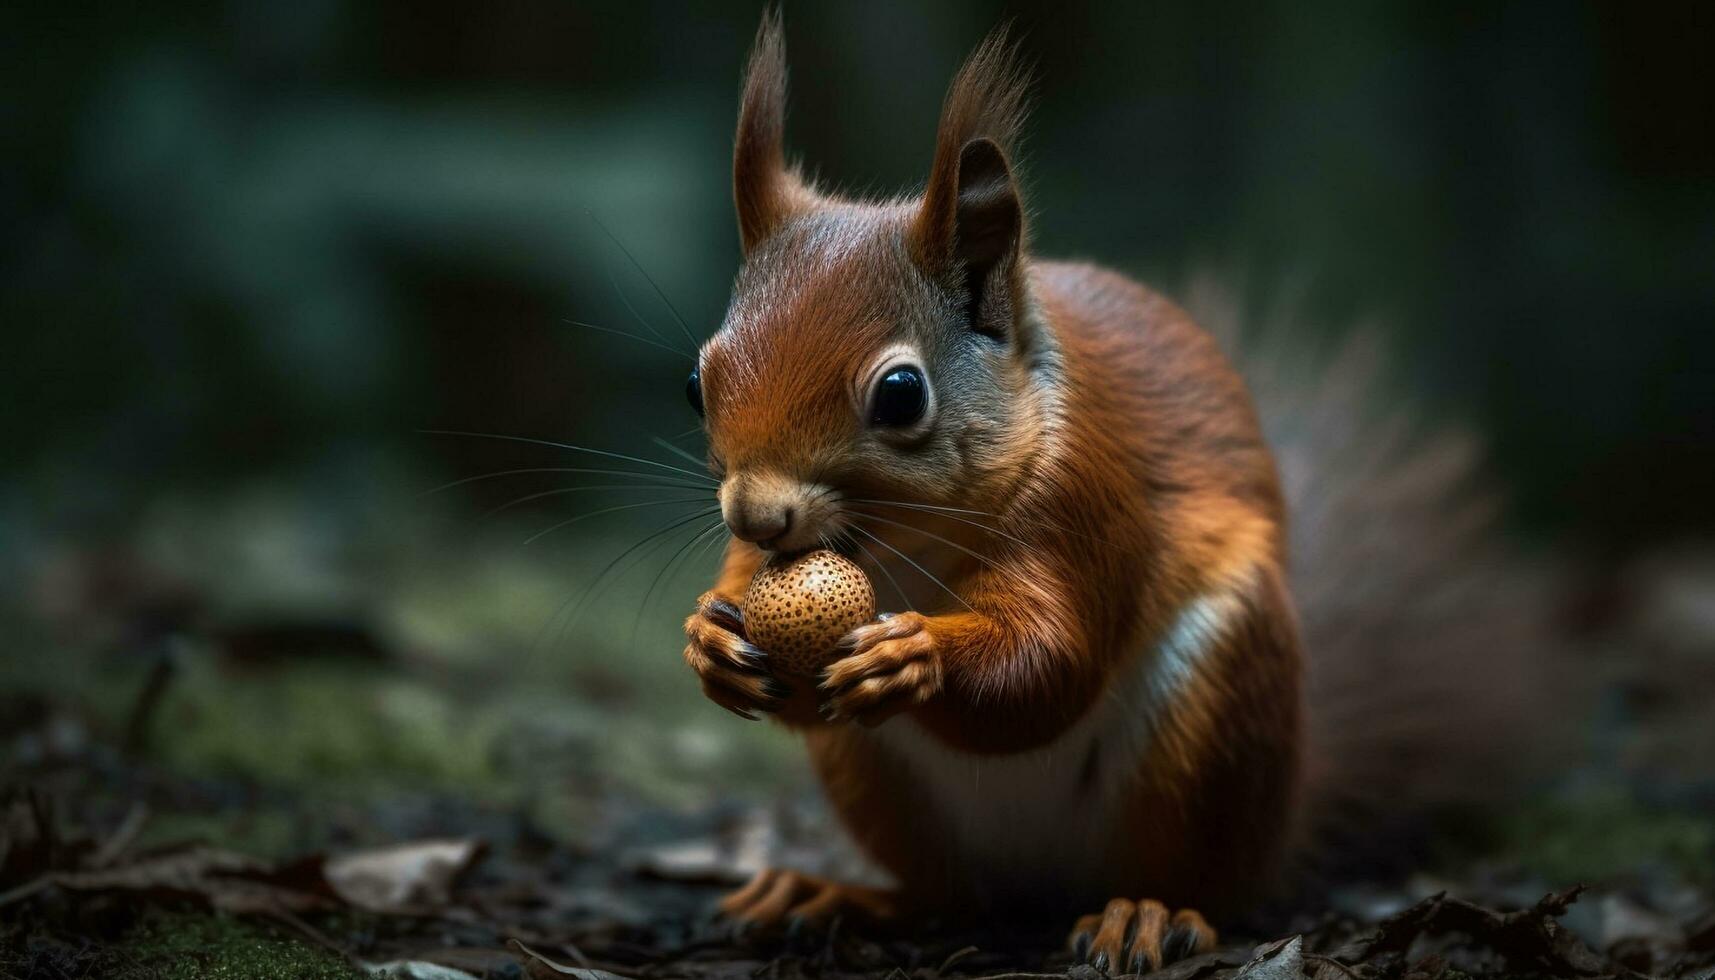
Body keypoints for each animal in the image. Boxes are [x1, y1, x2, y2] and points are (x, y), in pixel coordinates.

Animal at [679, 13, 1529, 974]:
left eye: (900, 394)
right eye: (697, 383)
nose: (757, 514)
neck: (902, 547)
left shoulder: (1085, 499)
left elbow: (1050, 666)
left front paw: (915, 655)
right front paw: (709, 640)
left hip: (1217, 712)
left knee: (1200, 881)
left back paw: (1146, 914)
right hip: (874, 779)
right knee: (941, 895)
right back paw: (833, 895)